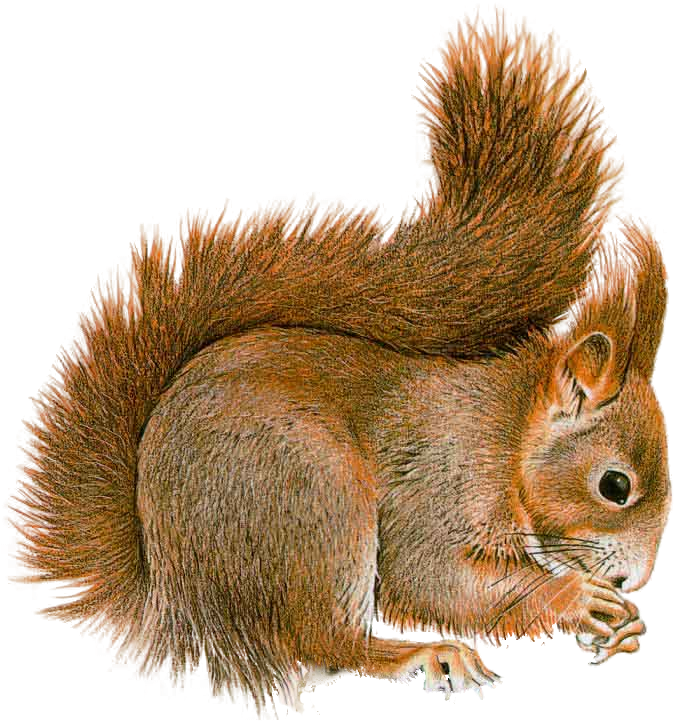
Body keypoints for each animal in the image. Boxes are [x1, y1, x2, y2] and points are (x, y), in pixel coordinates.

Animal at [4, 4, 671, 718]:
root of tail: (176, 609)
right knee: (325, 646)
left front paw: (626, 629)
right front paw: (577, 598)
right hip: (315, 503)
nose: (636, 578)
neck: (510, 434)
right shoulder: (442, 478)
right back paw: (421, 655)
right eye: (614, 486)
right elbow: (431, 577)